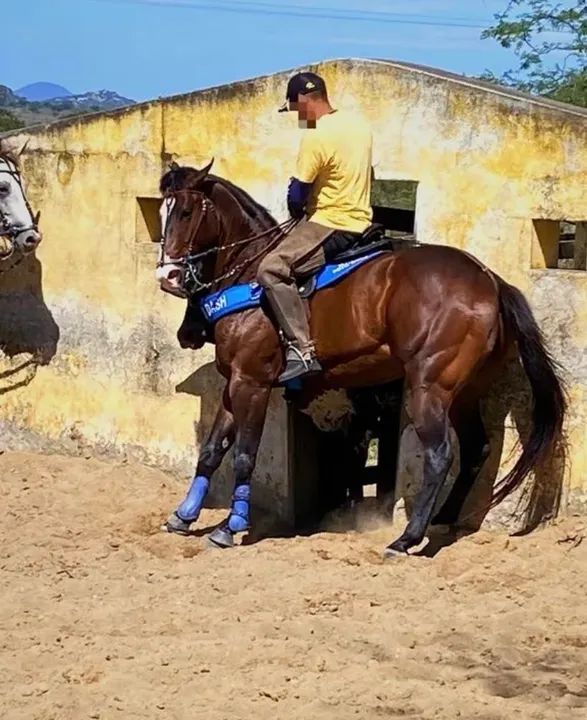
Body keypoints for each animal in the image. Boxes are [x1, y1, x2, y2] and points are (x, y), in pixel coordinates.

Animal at [155, 159, 566, 558]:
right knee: (475, 448)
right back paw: (443, 519)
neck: (251, 278)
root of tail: (490, 281)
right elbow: (212, 450)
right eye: (162, 211)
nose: (168, 276)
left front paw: (231, 526)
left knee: (440, 455)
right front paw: (184, 515)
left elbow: (243, 454)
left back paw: (407, 539)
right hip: (465, 391)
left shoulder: (252, 382)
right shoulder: (234, 381)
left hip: (428, 388)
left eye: (187, 211)